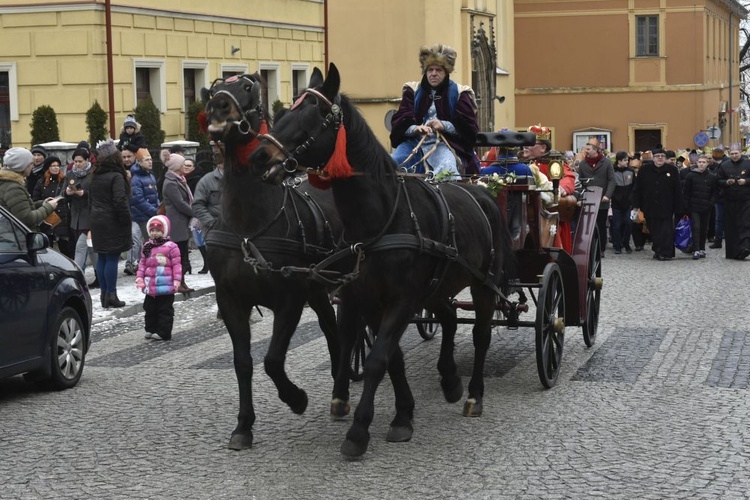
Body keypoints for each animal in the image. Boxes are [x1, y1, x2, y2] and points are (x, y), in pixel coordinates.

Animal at [198, 76, 342, 452]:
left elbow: (273, 360)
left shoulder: (289, 299)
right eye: (215, 87)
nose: (219, 106)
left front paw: (297, 398)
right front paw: (243, 425)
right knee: (332, 328)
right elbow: (243, 362)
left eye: (249, 86)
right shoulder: (231, 300)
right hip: (318, 289)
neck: (251, 226)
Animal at [253, 64, 516, 458]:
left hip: (483, 284)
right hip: (437, 287)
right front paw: (403, 413)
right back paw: (450, 379)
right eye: (282, 113)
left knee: (481, 334)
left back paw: (473, 395)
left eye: (311, 116)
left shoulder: (401, 301)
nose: (258, 157)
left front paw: (360, 430)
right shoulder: (368, 300)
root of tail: (482, 192)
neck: (382, 220)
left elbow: (379, 358)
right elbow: (392, 358)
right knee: (450, 318)